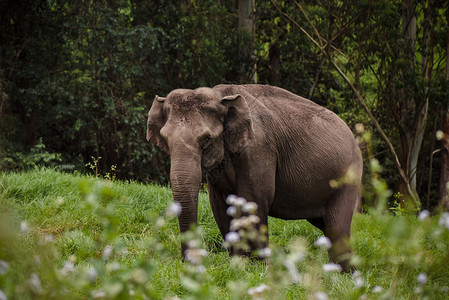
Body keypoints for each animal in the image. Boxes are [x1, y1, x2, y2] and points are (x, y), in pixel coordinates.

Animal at [145, 84, 362, 270]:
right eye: (165, 139)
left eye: (206, 139)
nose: (187, 263)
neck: (220, 95)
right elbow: (221, 206)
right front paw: (238, 263)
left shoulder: (259, 149)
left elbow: (253, 201)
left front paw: (257, 268)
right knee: (326, 225)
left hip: (348, 179)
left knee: (337, 227)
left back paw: (342, 275)